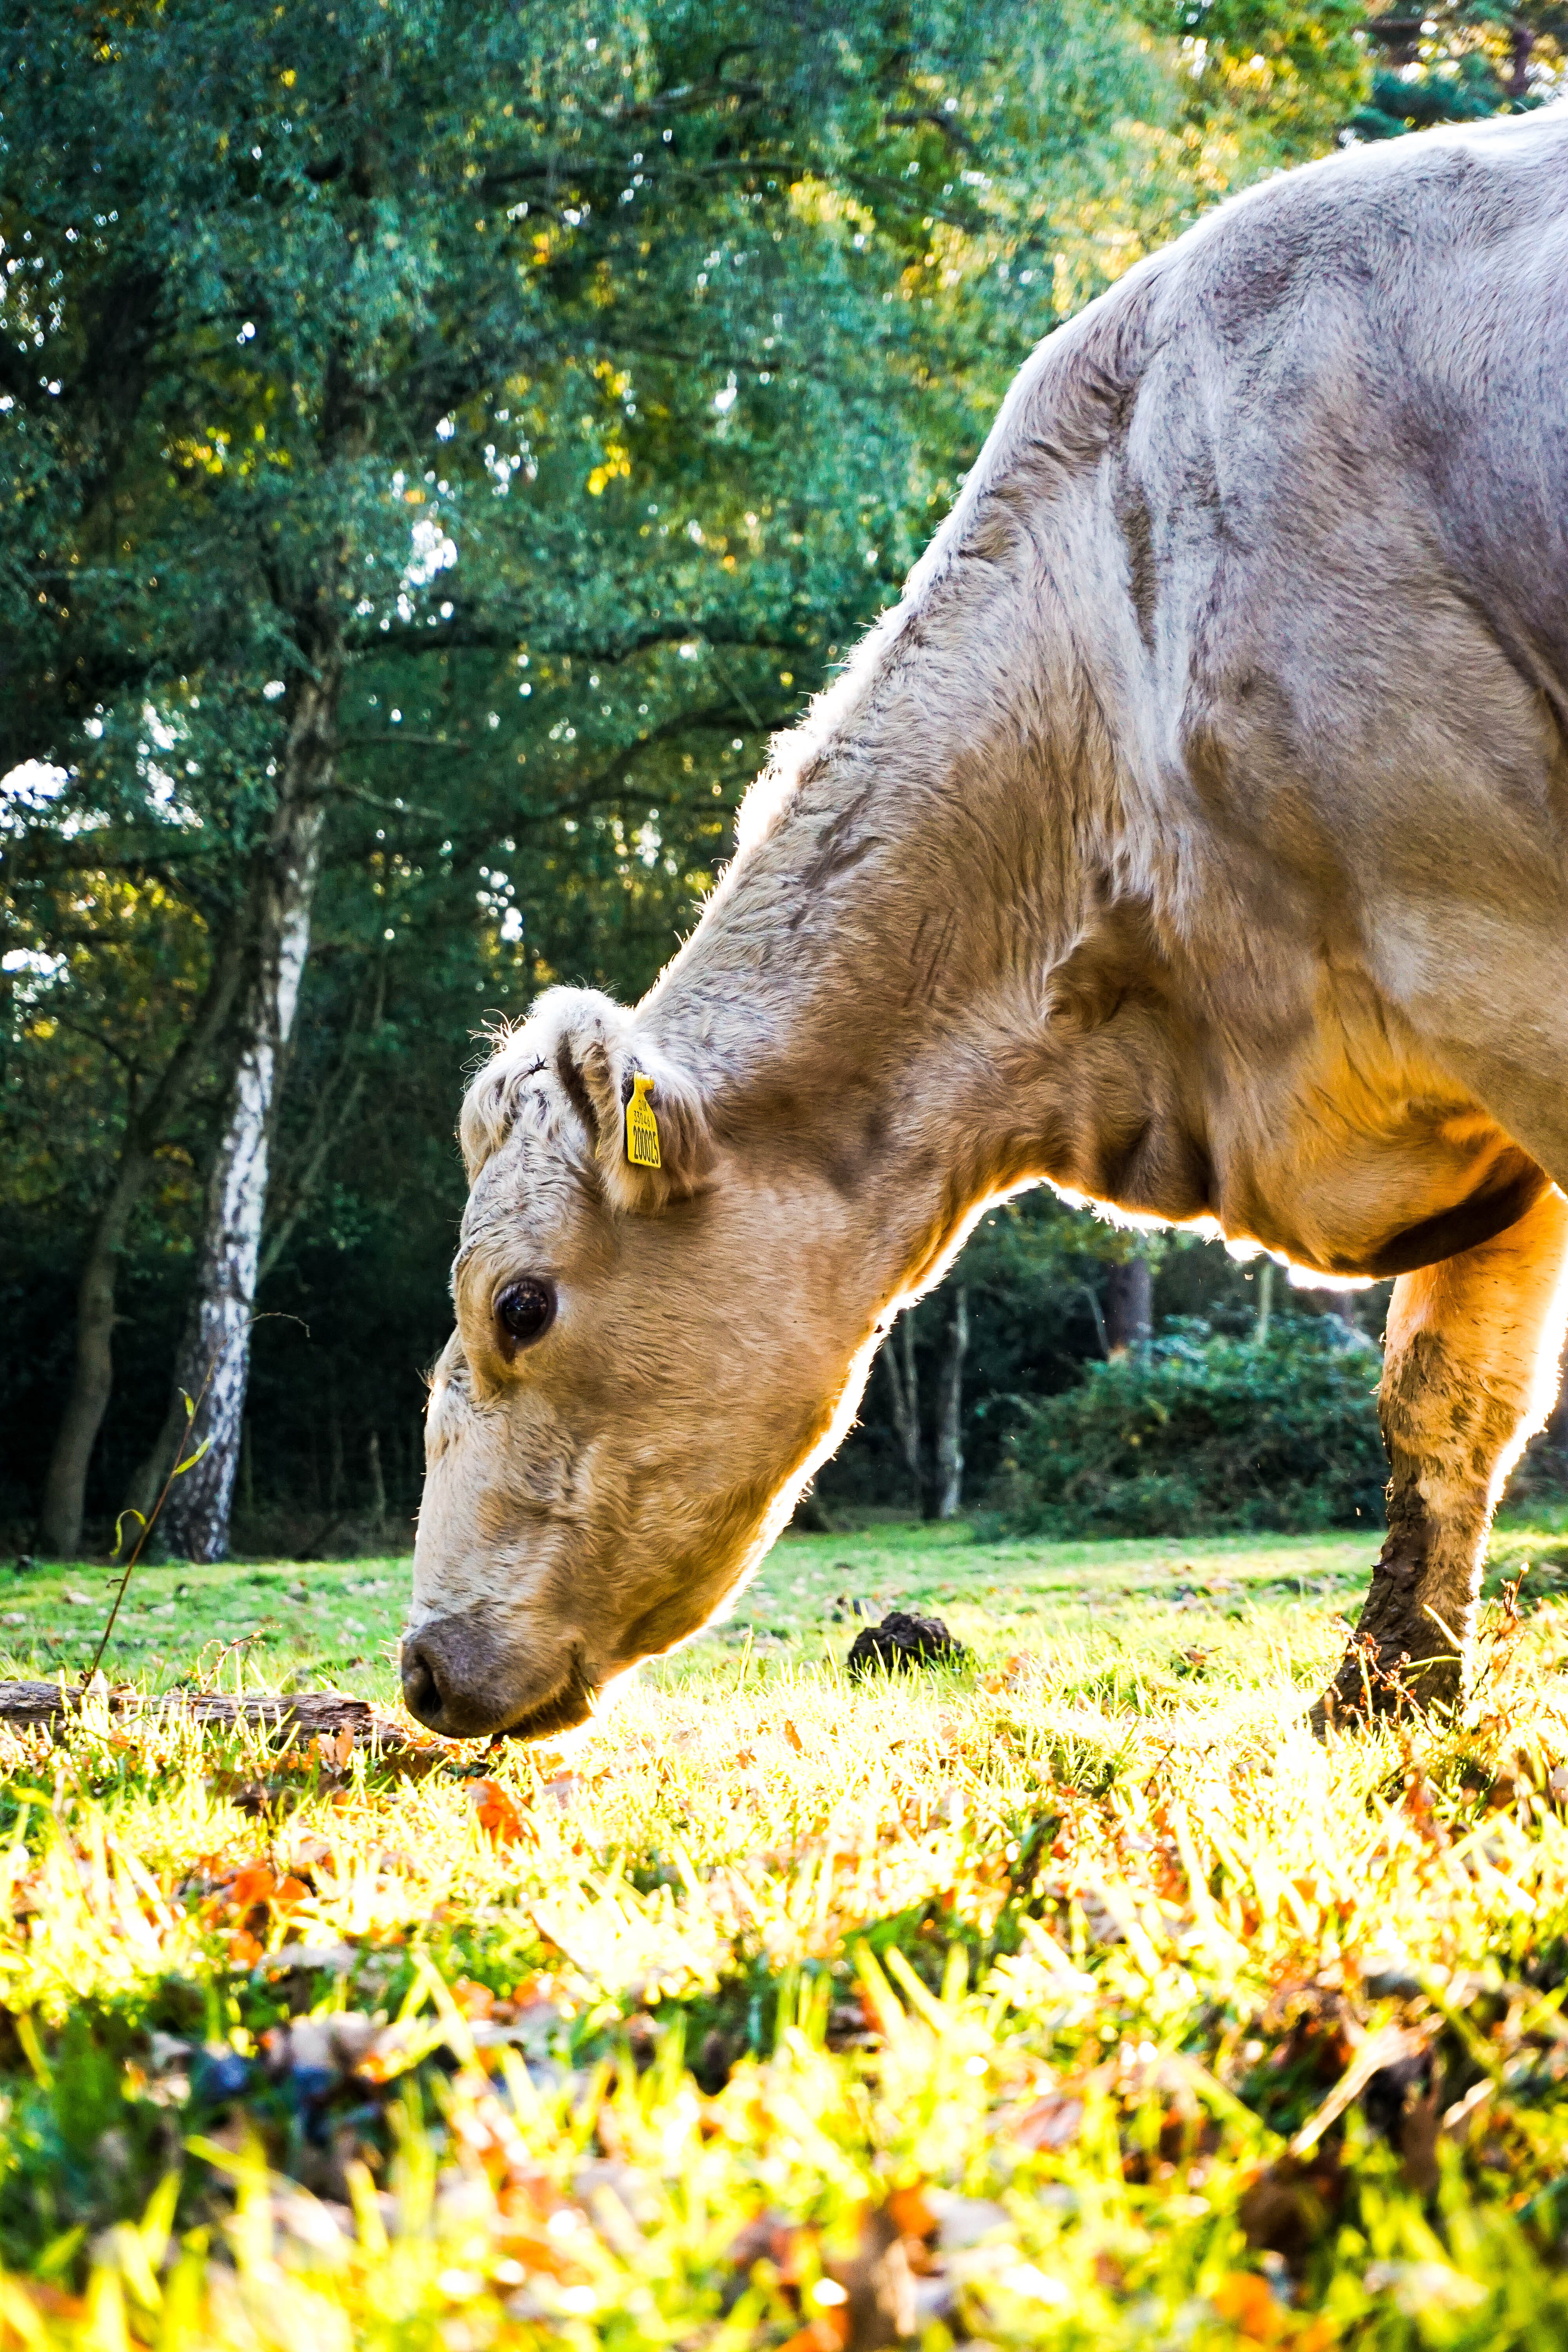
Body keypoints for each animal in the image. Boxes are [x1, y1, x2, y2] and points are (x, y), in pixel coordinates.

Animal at [402, 112, 1568, 1743]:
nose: (421, 1663)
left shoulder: (1491, 953)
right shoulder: (1460, 1071)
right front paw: (1382, 1697)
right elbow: (1446, 1395)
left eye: (519, 1304)